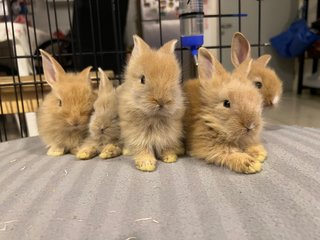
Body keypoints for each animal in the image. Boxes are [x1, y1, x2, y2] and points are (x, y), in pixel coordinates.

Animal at [119, 34, 185, 172]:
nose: (161, 100)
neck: (154, 116)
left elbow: (165, 144)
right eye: (142, 79)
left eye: (175, 81)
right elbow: (143, 147)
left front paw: (170, 157)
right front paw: (147, 164)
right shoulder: (137, 135)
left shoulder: (170, 132)